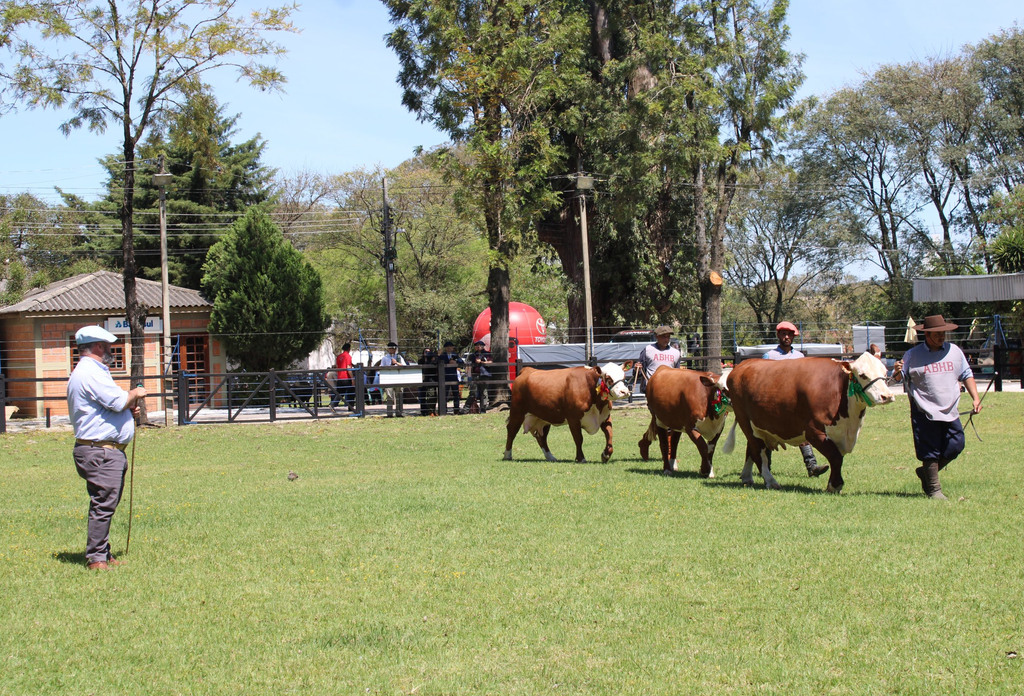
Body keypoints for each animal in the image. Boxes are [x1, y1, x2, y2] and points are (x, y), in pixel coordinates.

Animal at [720, 350, 897, 491]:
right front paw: (835, 485)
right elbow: (835, 457)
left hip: (758, 426)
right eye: (863, 375)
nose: (887, 396)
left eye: (884, 372)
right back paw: (770, 481)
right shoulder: (814, 432)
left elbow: (838, 457)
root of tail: (742, 366)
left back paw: (747, 477)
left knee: (751, 449)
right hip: (745, 421)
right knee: (758, 452)